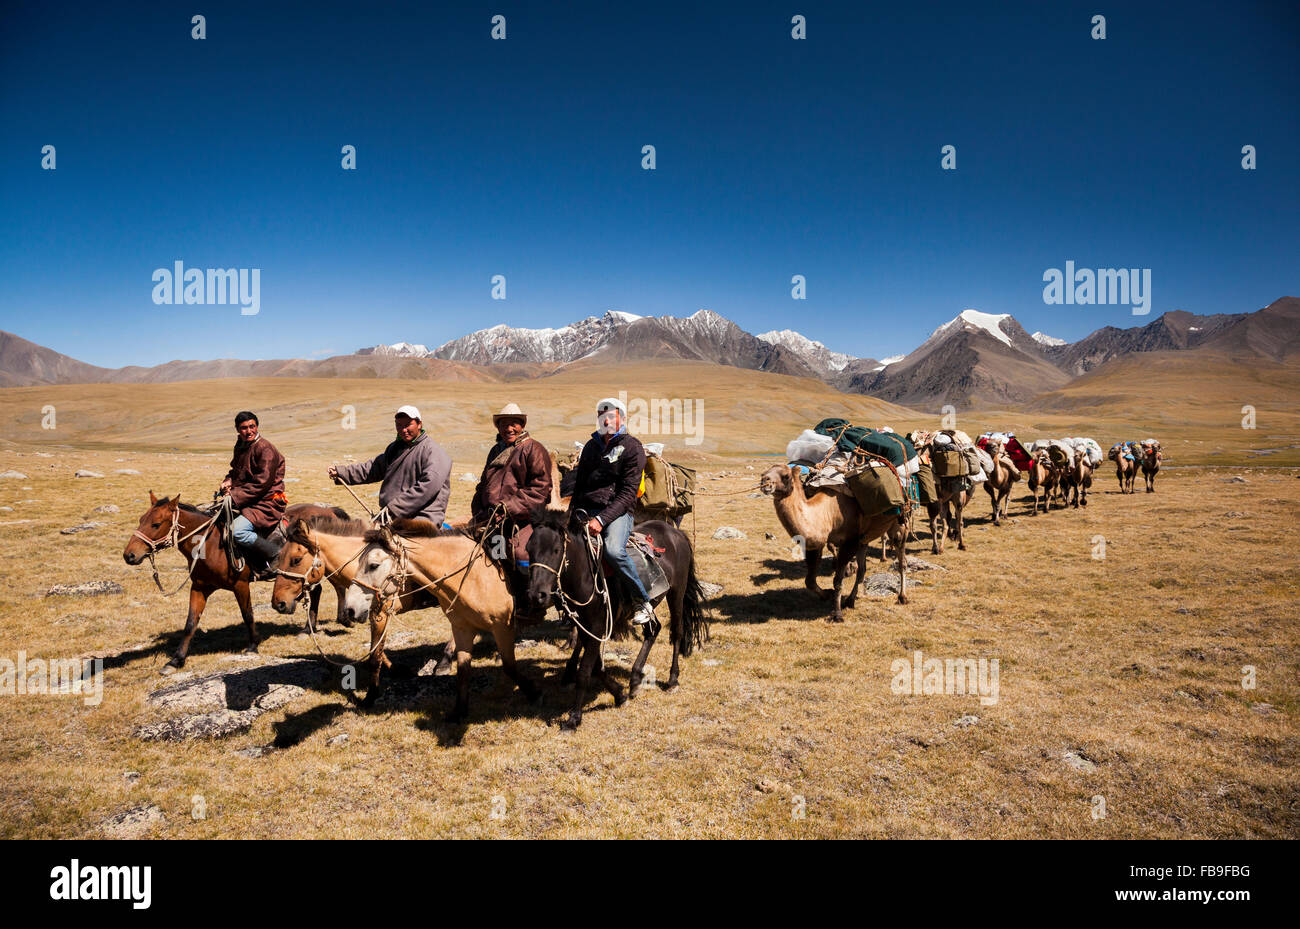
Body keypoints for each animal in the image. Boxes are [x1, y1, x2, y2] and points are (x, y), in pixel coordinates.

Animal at [348, 519, 540, 722]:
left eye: (373, 565)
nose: (350, 609)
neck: (475, 577)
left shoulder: (502, 627)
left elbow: (509, 666)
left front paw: (533, 692)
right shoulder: (463, 628)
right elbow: (463, 670)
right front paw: (459, 712)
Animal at [525, 511, 712, 732]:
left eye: (555, 550)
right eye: (528, 550)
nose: (537, 595)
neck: (585, 574)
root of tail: (676, 533)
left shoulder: (597, 626)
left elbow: (585, 672)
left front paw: (574, 718)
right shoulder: (585, 628)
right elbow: (596, 667)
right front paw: (619, 695)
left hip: (677, 593)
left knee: (677, 632)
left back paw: (672, 680)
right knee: (653, 630)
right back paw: (635, 679)